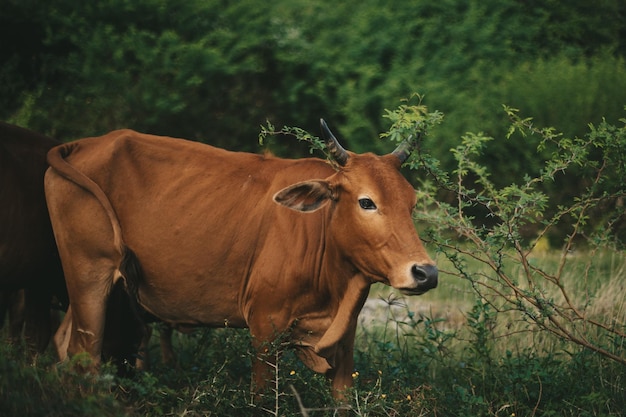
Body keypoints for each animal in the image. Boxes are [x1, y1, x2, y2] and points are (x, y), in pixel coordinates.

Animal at [45, 120, 434, 400]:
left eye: (412, 203)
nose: (426, 272)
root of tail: (83, 144)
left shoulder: (346, 339)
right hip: (90, 274)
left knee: (64, 344)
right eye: (366, 202)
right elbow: (260, 398)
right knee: (85, 355)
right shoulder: (264, 329)